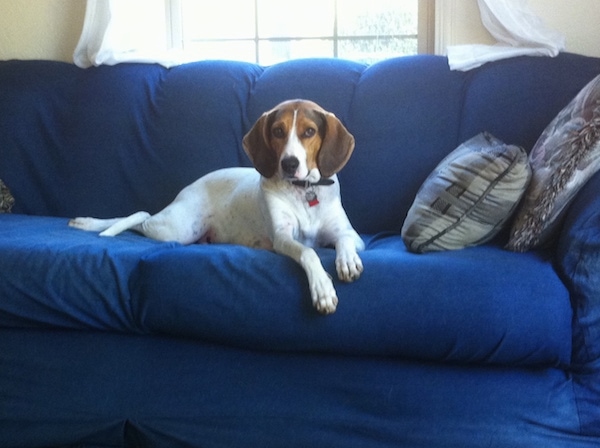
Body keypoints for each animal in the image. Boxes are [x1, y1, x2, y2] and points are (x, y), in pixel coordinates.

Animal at [68, 99, 364, 314]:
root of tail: (189, 187)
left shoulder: (351, 235)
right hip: (177, 229)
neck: (304, 191)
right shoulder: (282, 238)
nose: (289, 164)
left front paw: (347, 262)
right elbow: (308, 253)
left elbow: (344, 242)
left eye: (309, 131)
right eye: (278, 131)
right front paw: (323, 289)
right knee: (142, 215)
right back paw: (90, 223)